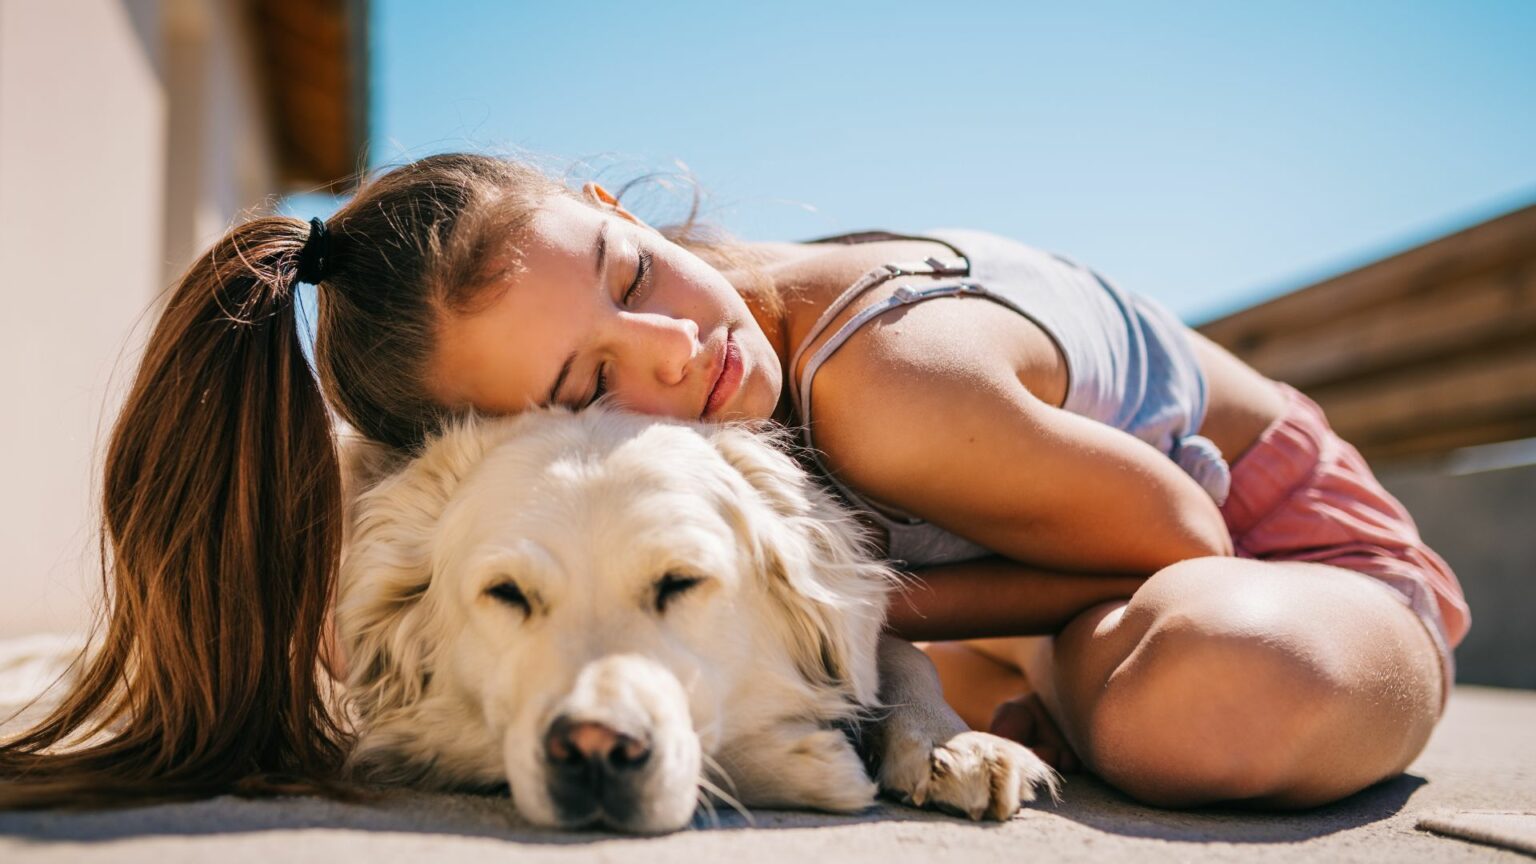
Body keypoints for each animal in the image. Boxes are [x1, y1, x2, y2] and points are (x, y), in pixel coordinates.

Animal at [334, 405, 1056, 830]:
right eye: (507, 593)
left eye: (680, 582)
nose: (594, 750)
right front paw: (811, 763)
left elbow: (896, 658)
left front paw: (954, 745)